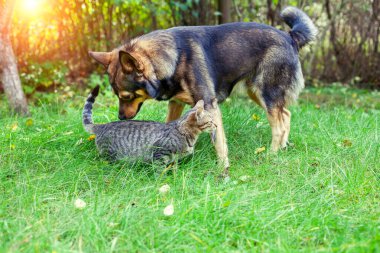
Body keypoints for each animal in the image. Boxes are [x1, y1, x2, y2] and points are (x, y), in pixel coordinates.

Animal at [82, 85, 217, 164]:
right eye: (210, 121)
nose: (216, 126)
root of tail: (103, 125)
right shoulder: (160, 152)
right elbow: (159, 171)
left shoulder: (174, 158)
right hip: (111, 155)